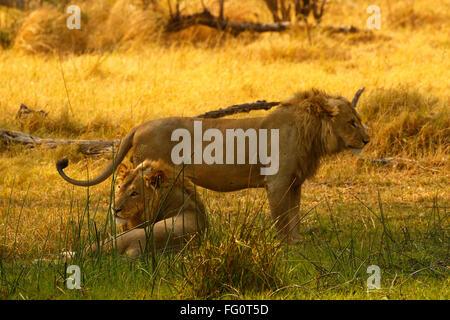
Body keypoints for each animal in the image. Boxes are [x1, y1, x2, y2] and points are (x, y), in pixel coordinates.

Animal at [57, 89, 370, 244]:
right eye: (352, 122)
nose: (367, 139)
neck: (310, 132)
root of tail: (139, 126)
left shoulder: (294, 183)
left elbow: (294, 216)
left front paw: (298, 242)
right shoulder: (278, 182)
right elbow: (282, 218)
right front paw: (287, 246)